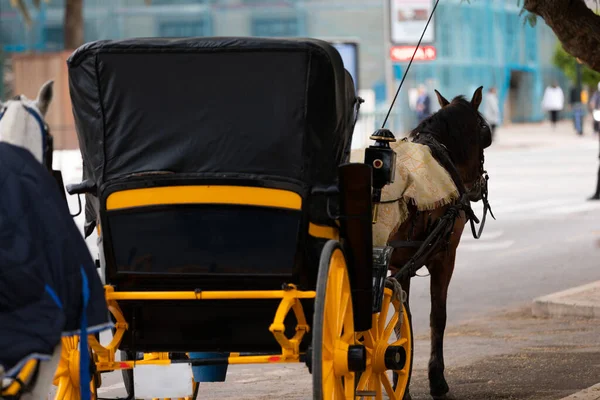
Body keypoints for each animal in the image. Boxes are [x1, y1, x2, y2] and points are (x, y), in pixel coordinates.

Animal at [384, 86, 492, 398]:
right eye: (485, 131)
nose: (478, 186)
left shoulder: (399, 266)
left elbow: (401, 321)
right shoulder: (445, 257)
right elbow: (436, 317)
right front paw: (435, 379)